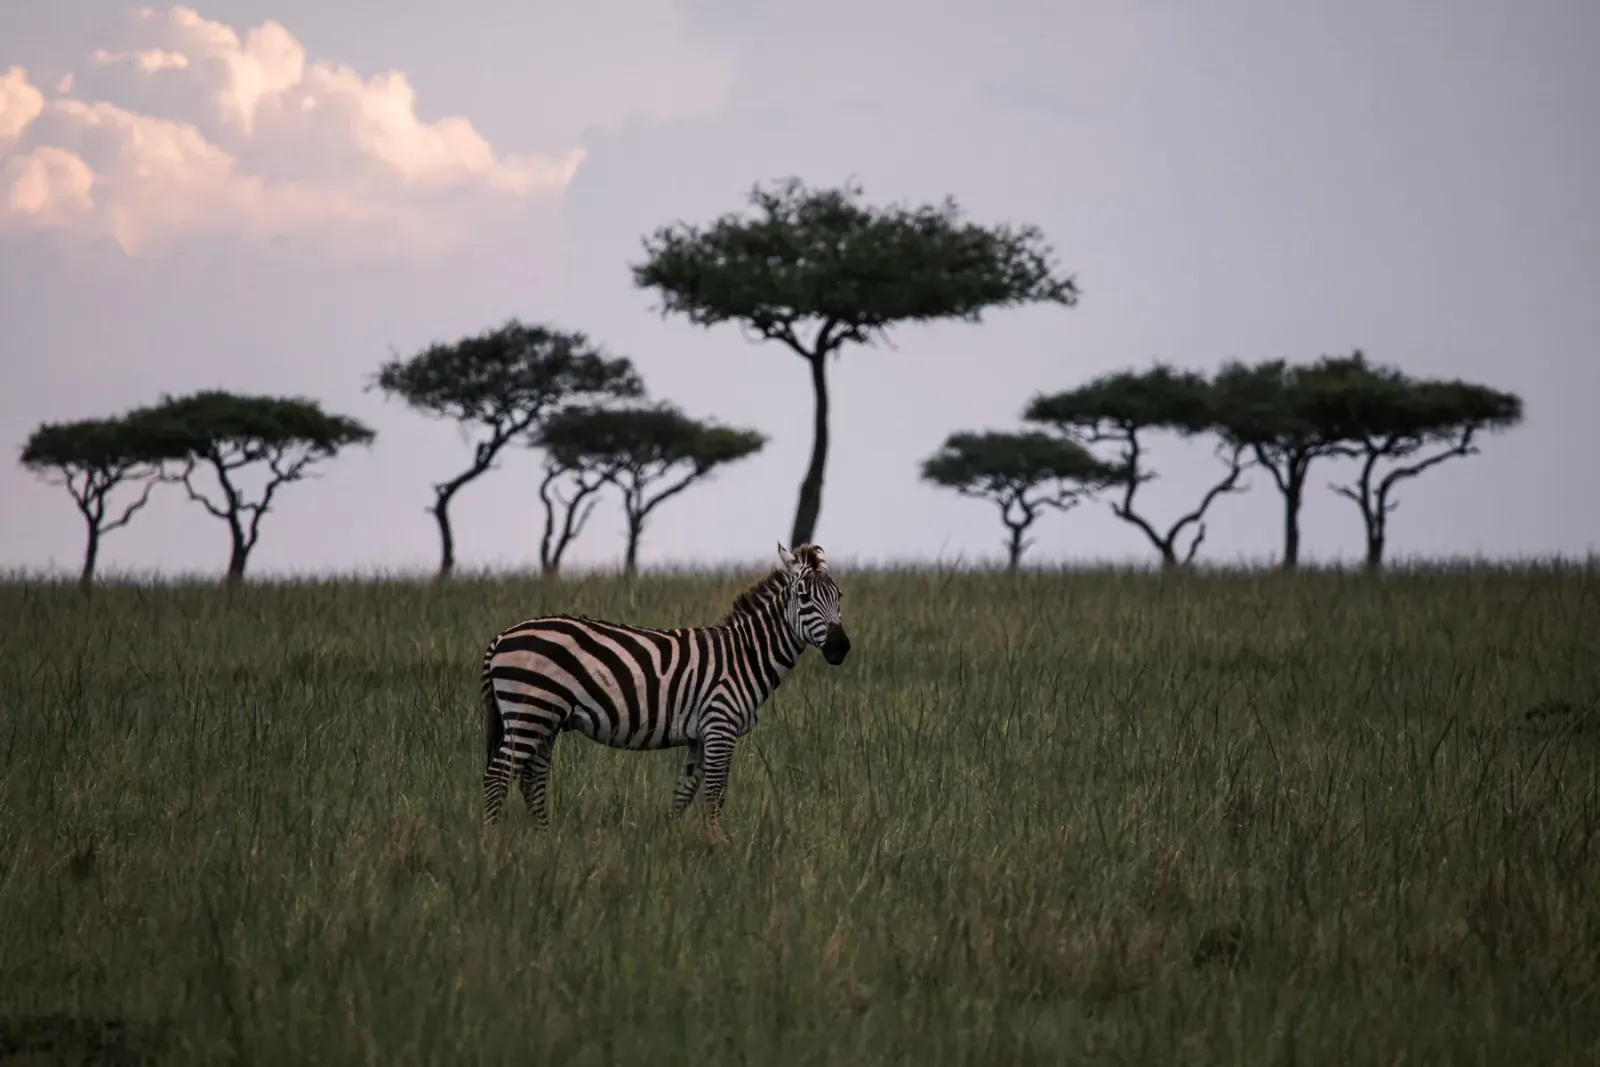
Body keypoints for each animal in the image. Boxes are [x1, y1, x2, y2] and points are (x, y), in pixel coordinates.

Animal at [479, 542, 851, 831]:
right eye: (803, 597)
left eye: (839, 596)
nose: (840, 648)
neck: (745, 656)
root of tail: (501, 637)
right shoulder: (720, 726)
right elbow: (716, 793)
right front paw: (719, 846)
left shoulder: (700, 735)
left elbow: (686, 792)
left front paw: (670, 837)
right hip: (531, 711)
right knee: (498, 776)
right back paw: (493, 841)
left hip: (545, 718)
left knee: (531, 779)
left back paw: (543, 839)